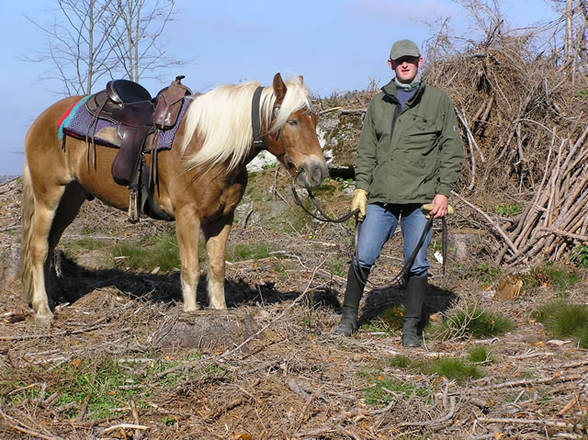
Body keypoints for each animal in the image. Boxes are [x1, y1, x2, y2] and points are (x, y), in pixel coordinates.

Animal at [21, 74, 326, 324]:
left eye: (314, 121)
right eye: (293, 121)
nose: (318, 171)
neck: (206, 146)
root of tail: (42, 119)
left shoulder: (223, 218)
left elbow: (216, 268)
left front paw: (219, 311)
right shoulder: (187, 216)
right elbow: (191, 269)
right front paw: (191, 313)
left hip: (71, 200)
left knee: (51, 245)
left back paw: (52, 299)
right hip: (49, 194)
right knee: (38, 247)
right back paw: (43, 311)